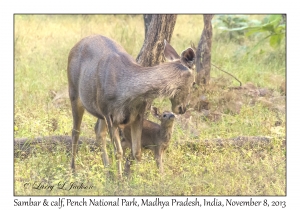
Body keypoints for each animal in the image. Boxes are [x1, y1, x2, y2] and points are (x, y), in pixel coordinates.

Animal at [67, 34, 196, 177]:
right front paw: (120, 178)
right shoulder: (109, 114)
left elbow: (137, 152)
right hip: (74, 92)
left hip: (99, 110)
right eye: (194, 83)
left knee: (99, 133)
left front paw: (136, 177)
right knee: (75, 131)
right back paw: (73, 169)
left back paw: (107, 170)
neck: (127, 91)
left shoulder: (138, 114)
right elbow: (118, 152)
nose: (182, 108)